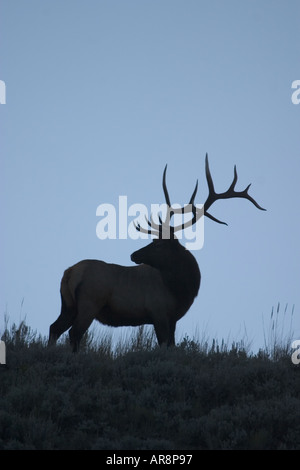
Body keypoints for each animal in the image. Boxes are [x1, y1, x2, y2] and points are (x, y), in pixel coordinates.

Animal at [48, 156, 264, 350]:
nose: (133, 254)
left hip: (68, 305)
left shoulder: (172, 319)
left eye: (158, 243)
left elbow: (172, 345)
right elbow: (163, 345)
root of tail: (69, 273)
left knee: (54, 328)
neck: (180, 291)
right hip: (89, 302)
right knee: (74, 333)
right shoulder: (158, 312)